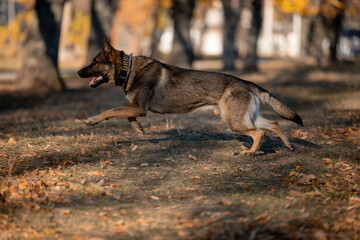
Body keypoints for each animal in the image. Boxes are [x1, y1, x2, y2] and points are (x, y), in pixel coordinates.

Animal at [77, 35, 302, 156]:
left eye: (94, 62)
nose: (78, 72)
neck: (129, 69)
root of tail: (245, 82)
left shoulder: (139, 108)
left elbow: (110, 111)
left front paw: (92, 120)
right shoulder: (136, 107)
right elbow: (127, 116)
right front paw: (139, 129)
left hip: (235, 122)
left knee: (260, 133)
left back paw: (251, 152)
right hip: (245, 118)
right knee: (273, 124)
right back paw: (289, 145)